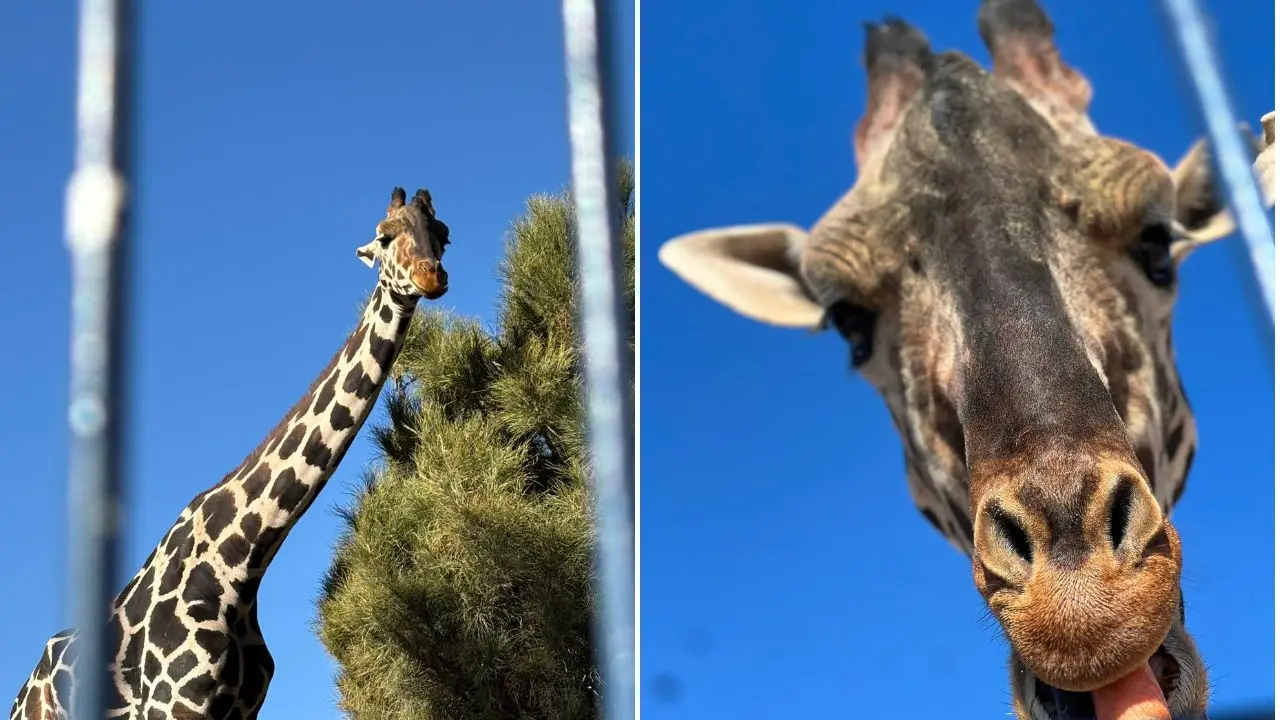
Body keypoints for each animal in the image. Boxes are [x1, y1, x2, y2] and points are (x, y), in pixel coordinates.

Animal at [10, 186, 450, 720]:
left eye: (443, 233)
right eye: (385, 237)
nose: (431, 276)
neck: (242, 561)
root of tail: (29, 684)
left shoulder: (243, 709)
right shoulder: (174, 705)